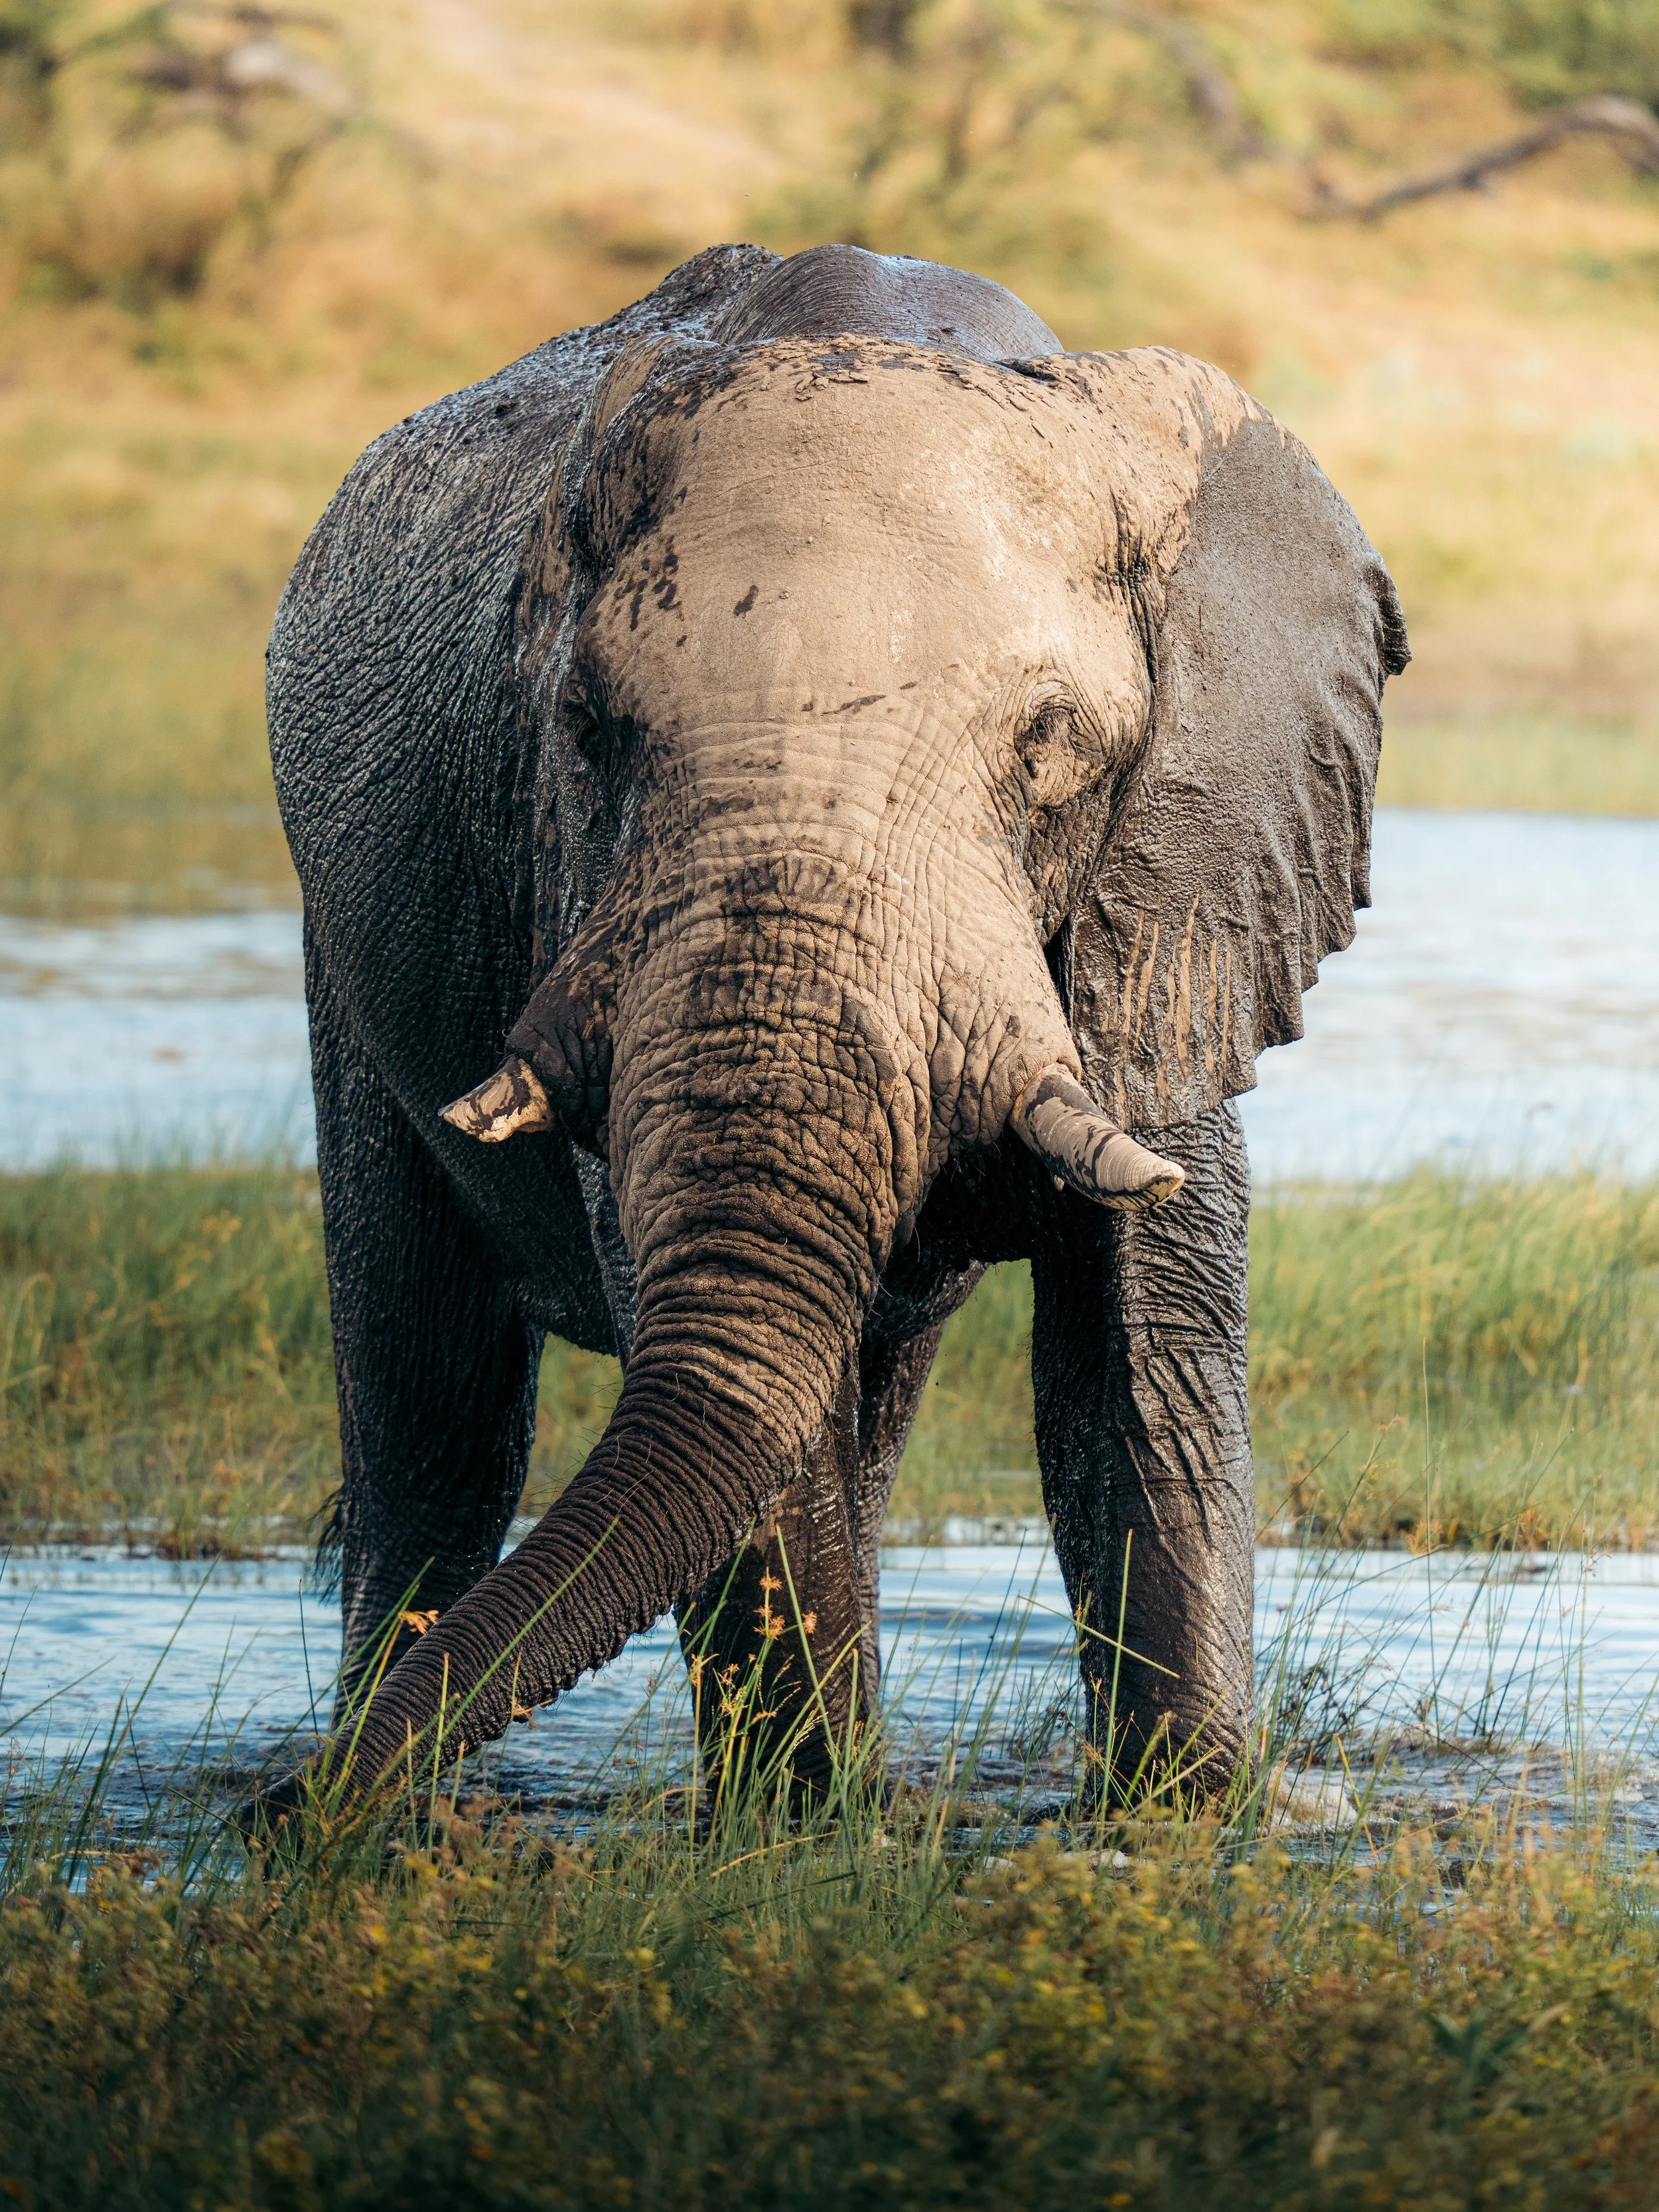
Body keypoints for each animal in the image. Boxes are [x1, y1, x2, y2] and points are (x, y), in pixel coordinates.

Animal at [267, 241, 1407, 1809]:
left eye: (1051, 751)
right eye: (590, 730)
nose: (271, 1815)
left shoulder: (1176, 891)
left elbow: (1140, 1351)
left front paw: (1181, 1814)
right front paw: (811, 1832)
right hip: (345, 945)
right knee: (430, 1407)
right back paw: (402, 1799)